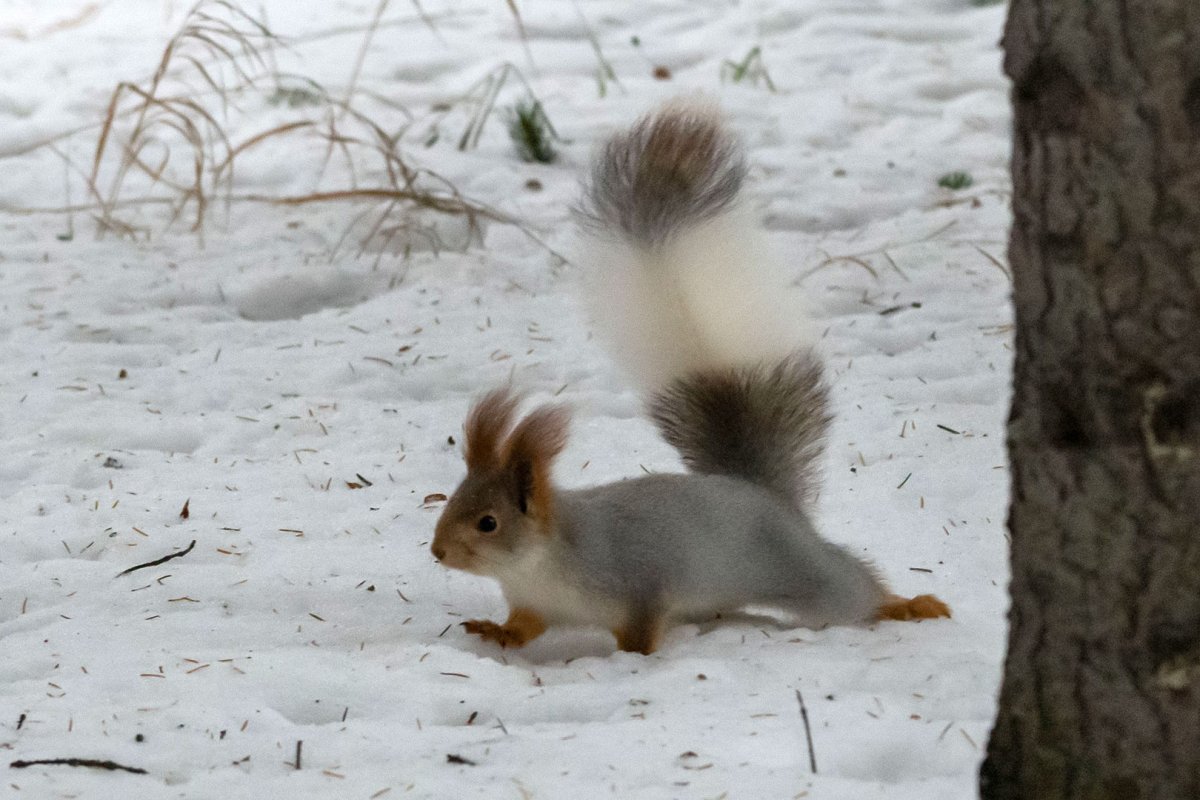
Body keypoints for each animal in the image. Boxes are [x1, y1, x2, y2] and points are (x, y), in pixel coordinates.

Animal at [432, 100, 945, 652]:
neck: (538, 564)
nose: (437, 551)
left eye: (488, 522)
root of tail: (759, 492)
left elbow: (641, 629)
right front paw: (495, 632)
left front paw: (633, 660)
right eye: (455, 499)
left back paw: (907, 605)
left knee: (852, 587)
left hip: (804, 572)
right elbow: (524, 627)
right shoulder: (533, 603)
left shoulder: (638, 585)